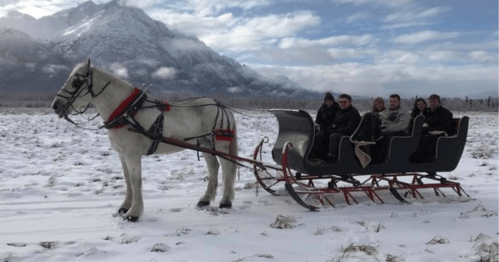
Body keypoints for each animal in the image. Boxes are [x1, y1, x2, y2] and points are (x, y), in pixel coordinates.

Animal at [51, 59, 239, 221]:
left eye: (76, 82)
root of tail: (221, 106)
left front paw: (134, 213)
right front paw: (125, 207)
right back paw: (205, 199)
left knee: (228, 167)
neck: (126, 112)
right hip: (205, 143)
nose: (55, 106)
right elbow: (127, 180)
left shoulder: (132, 155)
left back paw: (225, 202)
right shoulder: (122, 155)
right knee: (213, 167)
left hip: (220, 144)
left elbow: (136, 181)